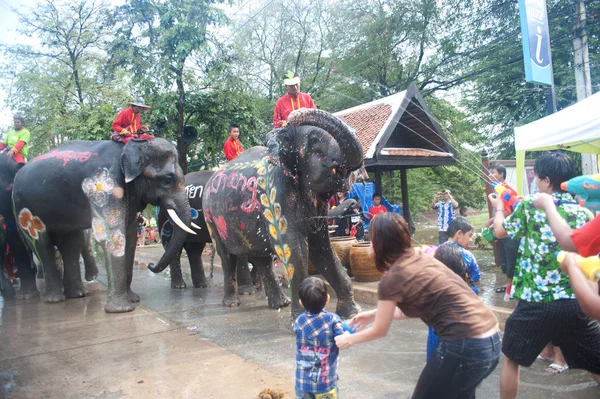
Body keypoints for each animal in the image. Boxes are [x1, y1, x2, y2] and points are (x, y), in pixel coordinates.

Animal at [12, 139, 192, 314]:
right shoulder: (106, 186)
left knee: (72, 243)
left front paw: (133, 299)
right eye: (168, 180)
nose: (150, 265)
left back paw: (78, 294)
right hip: (24, 208)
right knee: (42, 245)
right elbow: (112, 235)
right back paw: (55, 300)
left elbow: (130, 238)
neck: (133, 145)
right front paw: (122, 310)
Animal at [200, 108, 360, 318]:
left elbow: (322, 248)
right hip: (211, 218)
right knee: (227, 257)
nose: (290, 117)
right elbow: (295, 250)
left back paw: (280, 303)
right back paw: (232, 304)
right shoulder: (277, 195)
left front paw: (352, 314)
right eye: (314, 140)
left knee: (262, 258)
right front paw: (301, 319)